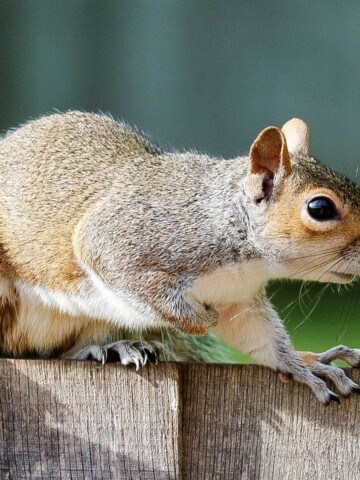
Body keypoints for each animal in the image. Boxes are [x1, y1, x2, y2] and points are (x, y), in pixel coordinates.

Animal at [0, 109, 360, 404]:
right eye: (320, 208)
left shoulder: (237, 300)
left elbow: (260, 337)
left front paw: (303, 365)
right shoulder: (122, 241)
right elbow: (131, 279)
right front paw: (200, 319)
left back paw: (110, 347)